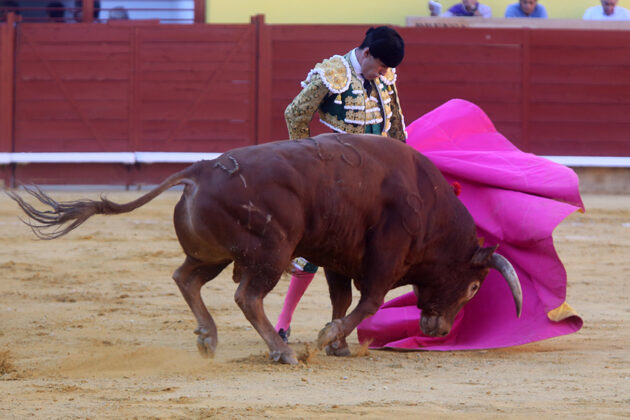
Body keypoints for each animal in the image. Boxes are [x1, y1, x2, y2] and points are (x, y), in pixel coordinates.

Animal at [7, 134, 524, 364]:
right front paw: (326, 338)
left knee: (185, 277)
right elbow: (368, 301)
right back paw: (281, 350)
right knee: (247, 296)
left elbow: (340, 296)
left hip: (215, 254)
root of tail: (199, 170)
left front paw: (337, 344)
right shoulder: (383, 255)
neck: (428, 202)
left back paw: (208, 337)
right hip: (270, 251)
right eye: (474, 286)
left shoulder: (339, 256)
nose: (439, 331)